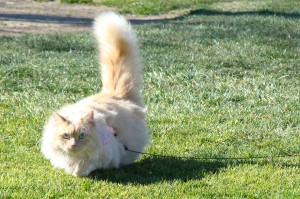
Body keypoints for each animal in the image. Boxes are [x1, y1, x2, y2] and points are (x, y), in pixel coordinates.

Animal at [41, 11, 149, 176]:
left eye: (82, 135)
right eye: (66, 136)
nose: (73, 145)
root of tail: (115, 93)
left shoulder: (104, 154)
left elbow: (85, 165)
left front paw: (78, 171)